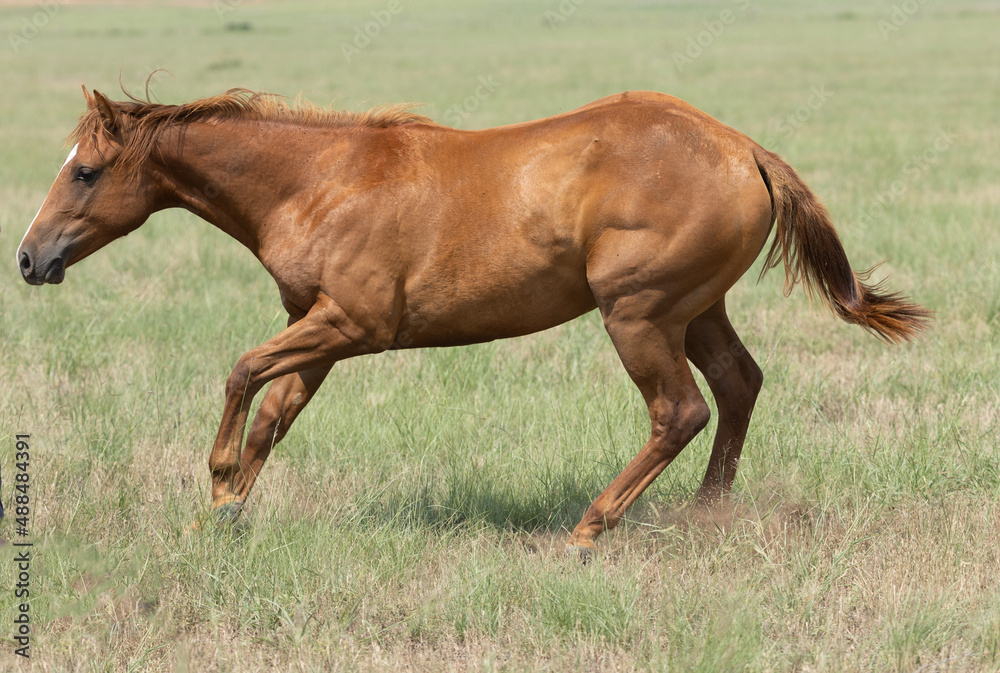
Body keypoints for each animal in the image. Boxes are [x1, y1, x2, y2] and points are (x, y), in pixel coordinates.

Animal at [16, 87, 929, 551]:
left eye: (87, 171)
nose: (29, 258)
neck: (317, 180)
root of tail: (745, 150)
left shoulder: (355, 325)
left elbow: (242, 369)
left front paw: (214, 484)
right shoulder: (320, 330)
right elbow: (275, 412)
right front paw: (226, 511)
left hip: (638, 314)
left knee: (682, 410)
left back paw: (590, 527)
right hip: (696, 309)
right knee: (739, 385)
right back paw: (707, 513)